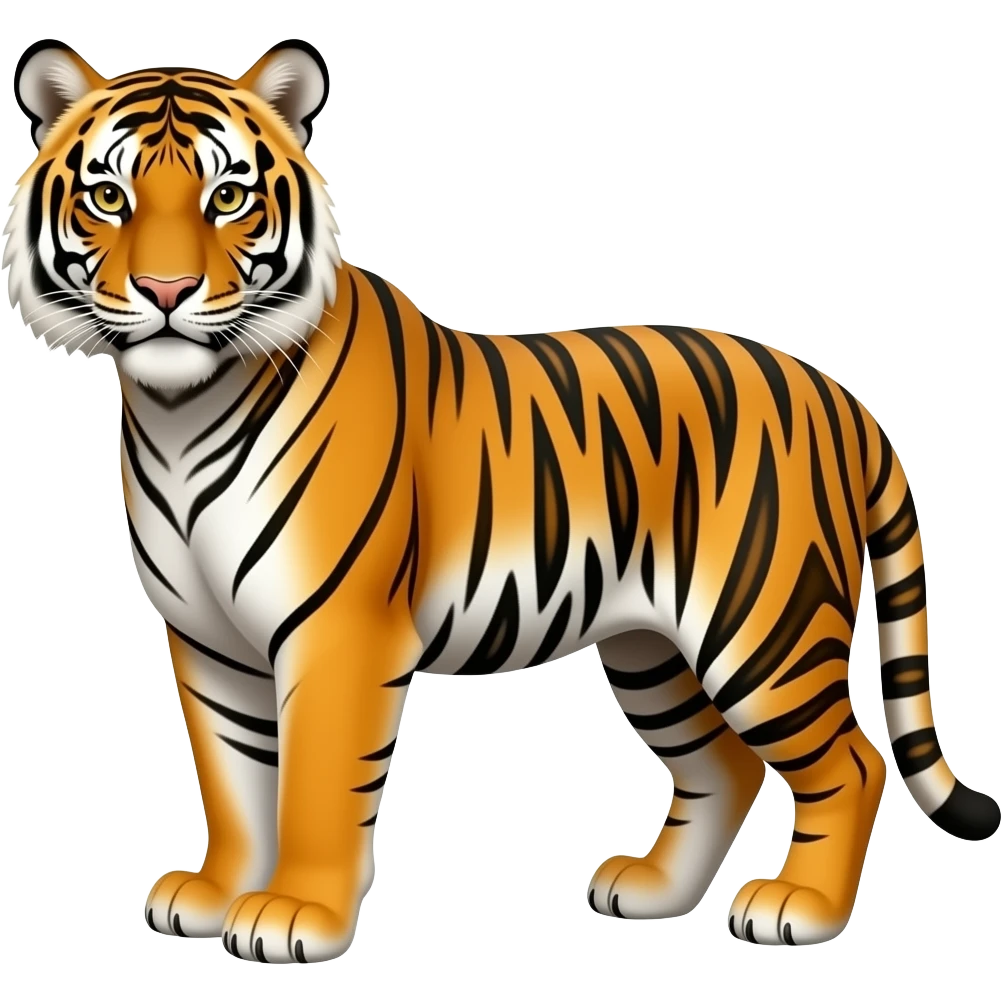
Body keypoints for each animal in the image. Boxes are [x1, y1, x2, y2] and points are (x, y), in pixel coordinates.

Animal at [3, 36, 998, 966]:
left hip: (764, 627)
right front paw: (215, 895)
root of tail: (840, 396)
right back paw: (653, 888)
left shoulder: (336, 631)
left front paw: (294, 916)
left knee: (853, 762)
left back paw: (801, 908)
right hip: (652, 649)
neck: (181, 409)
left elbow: (315, 785)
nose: (166, 292)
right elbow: (233, 779)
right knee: (721, 764)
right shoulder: (207, 639)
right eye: (108, 197)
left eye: (229, 198)